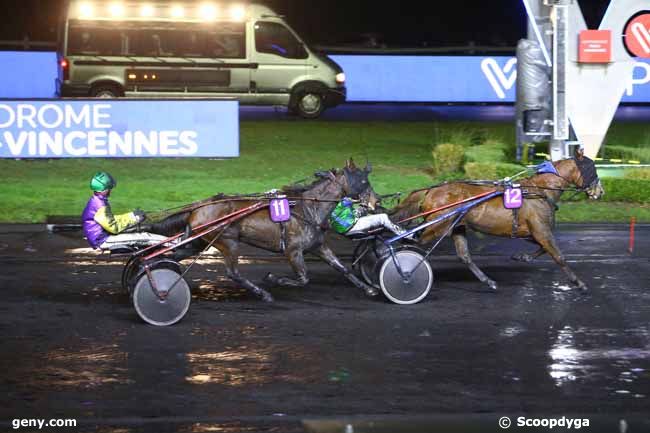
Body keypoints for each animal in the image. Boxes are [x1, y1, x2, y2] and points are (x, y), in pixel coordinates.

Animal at [147, 158, 380, 300]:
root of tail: (197, 207)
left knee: (170, 255)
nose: (376, 201)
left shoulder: (318, 246)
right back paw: (263, 293)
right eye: (362, 181)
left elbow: (342, 268)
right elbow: (303, 278)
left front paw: (369, 288)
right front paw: (274, 279)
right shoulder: (293, 251)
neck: (308, 209)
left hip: (198, 242)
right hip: (228, 241)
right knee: (233, 273)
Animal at [388, 150, 600, 292]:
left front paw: (522, 257)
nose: (600, 191)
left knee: (464, 256)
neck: (540, 191)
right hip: (437, 226)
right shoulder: (541, 230)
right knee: (409, 241)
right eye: (592, 169)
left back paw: (488, 281)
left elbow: (541, 248)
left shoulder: (532, 232)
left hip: (457, 227)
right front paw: (579, 283)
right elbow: (558, 255)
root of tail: (431, 190)